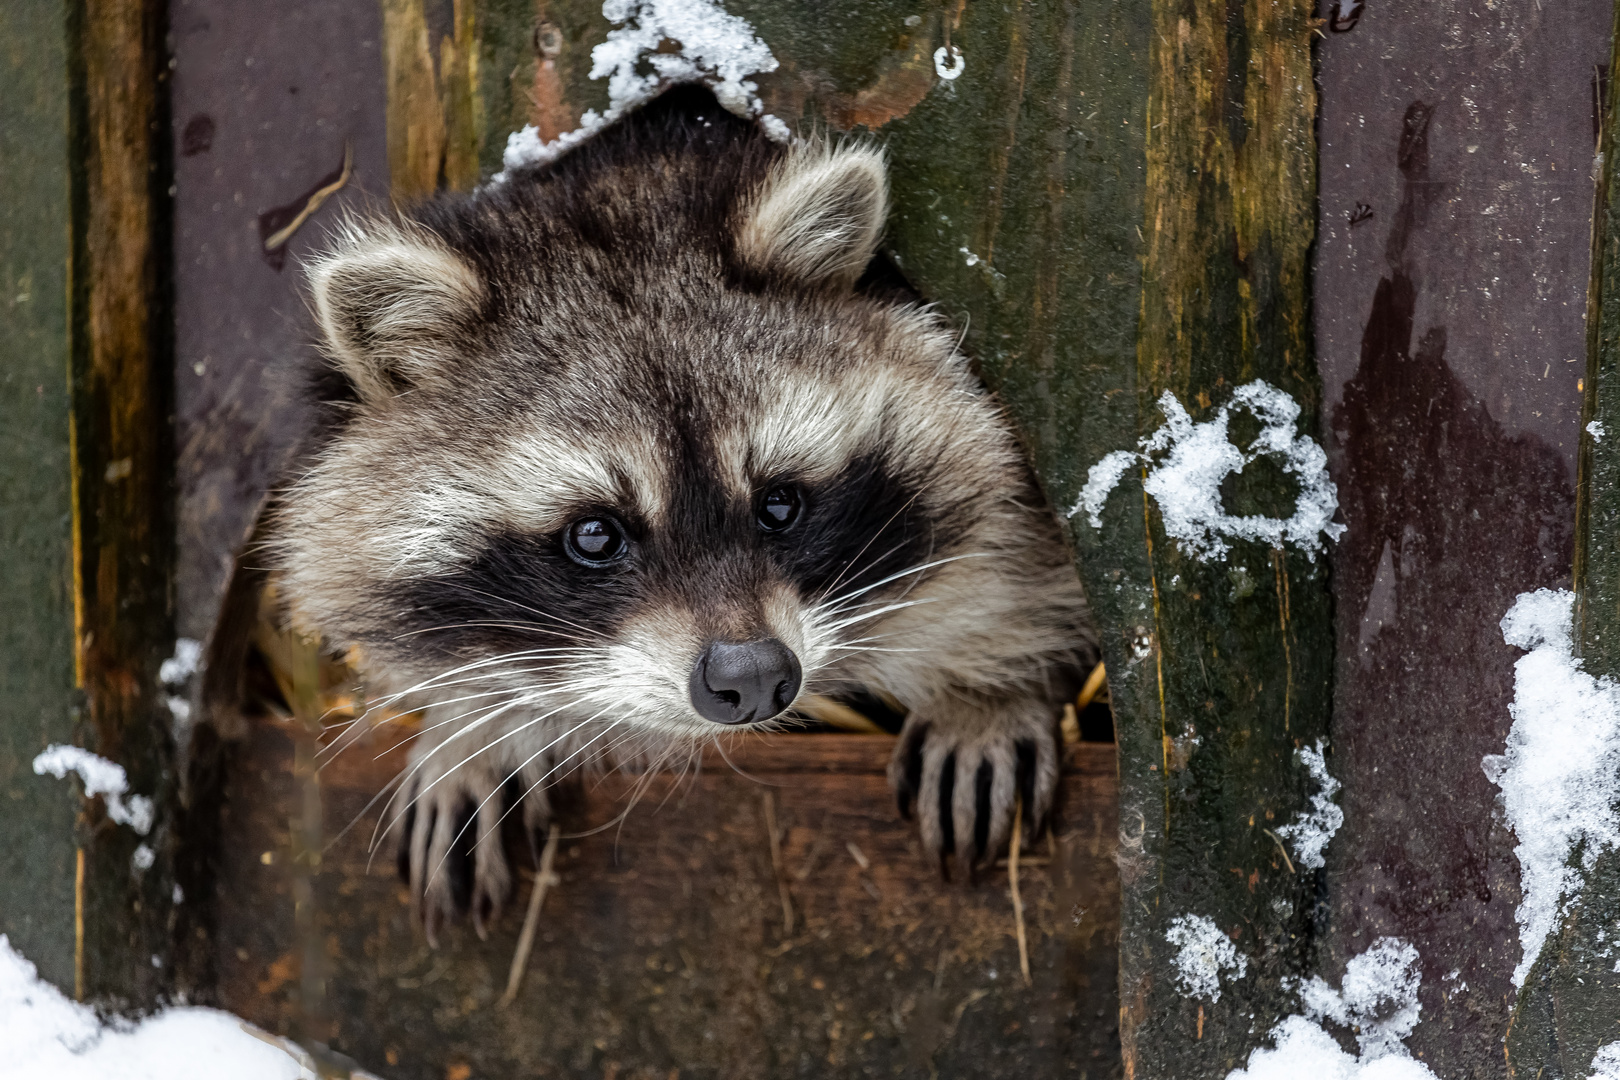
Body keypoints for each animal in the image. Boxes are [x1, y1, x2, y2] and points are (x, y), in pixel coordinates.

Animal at [272, 88, 1095, 939]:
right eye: (595, 535)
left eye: (779, 504)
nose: (755, 678)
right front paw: (470, 728)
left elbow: (1008, 544)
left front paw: (990, 678)